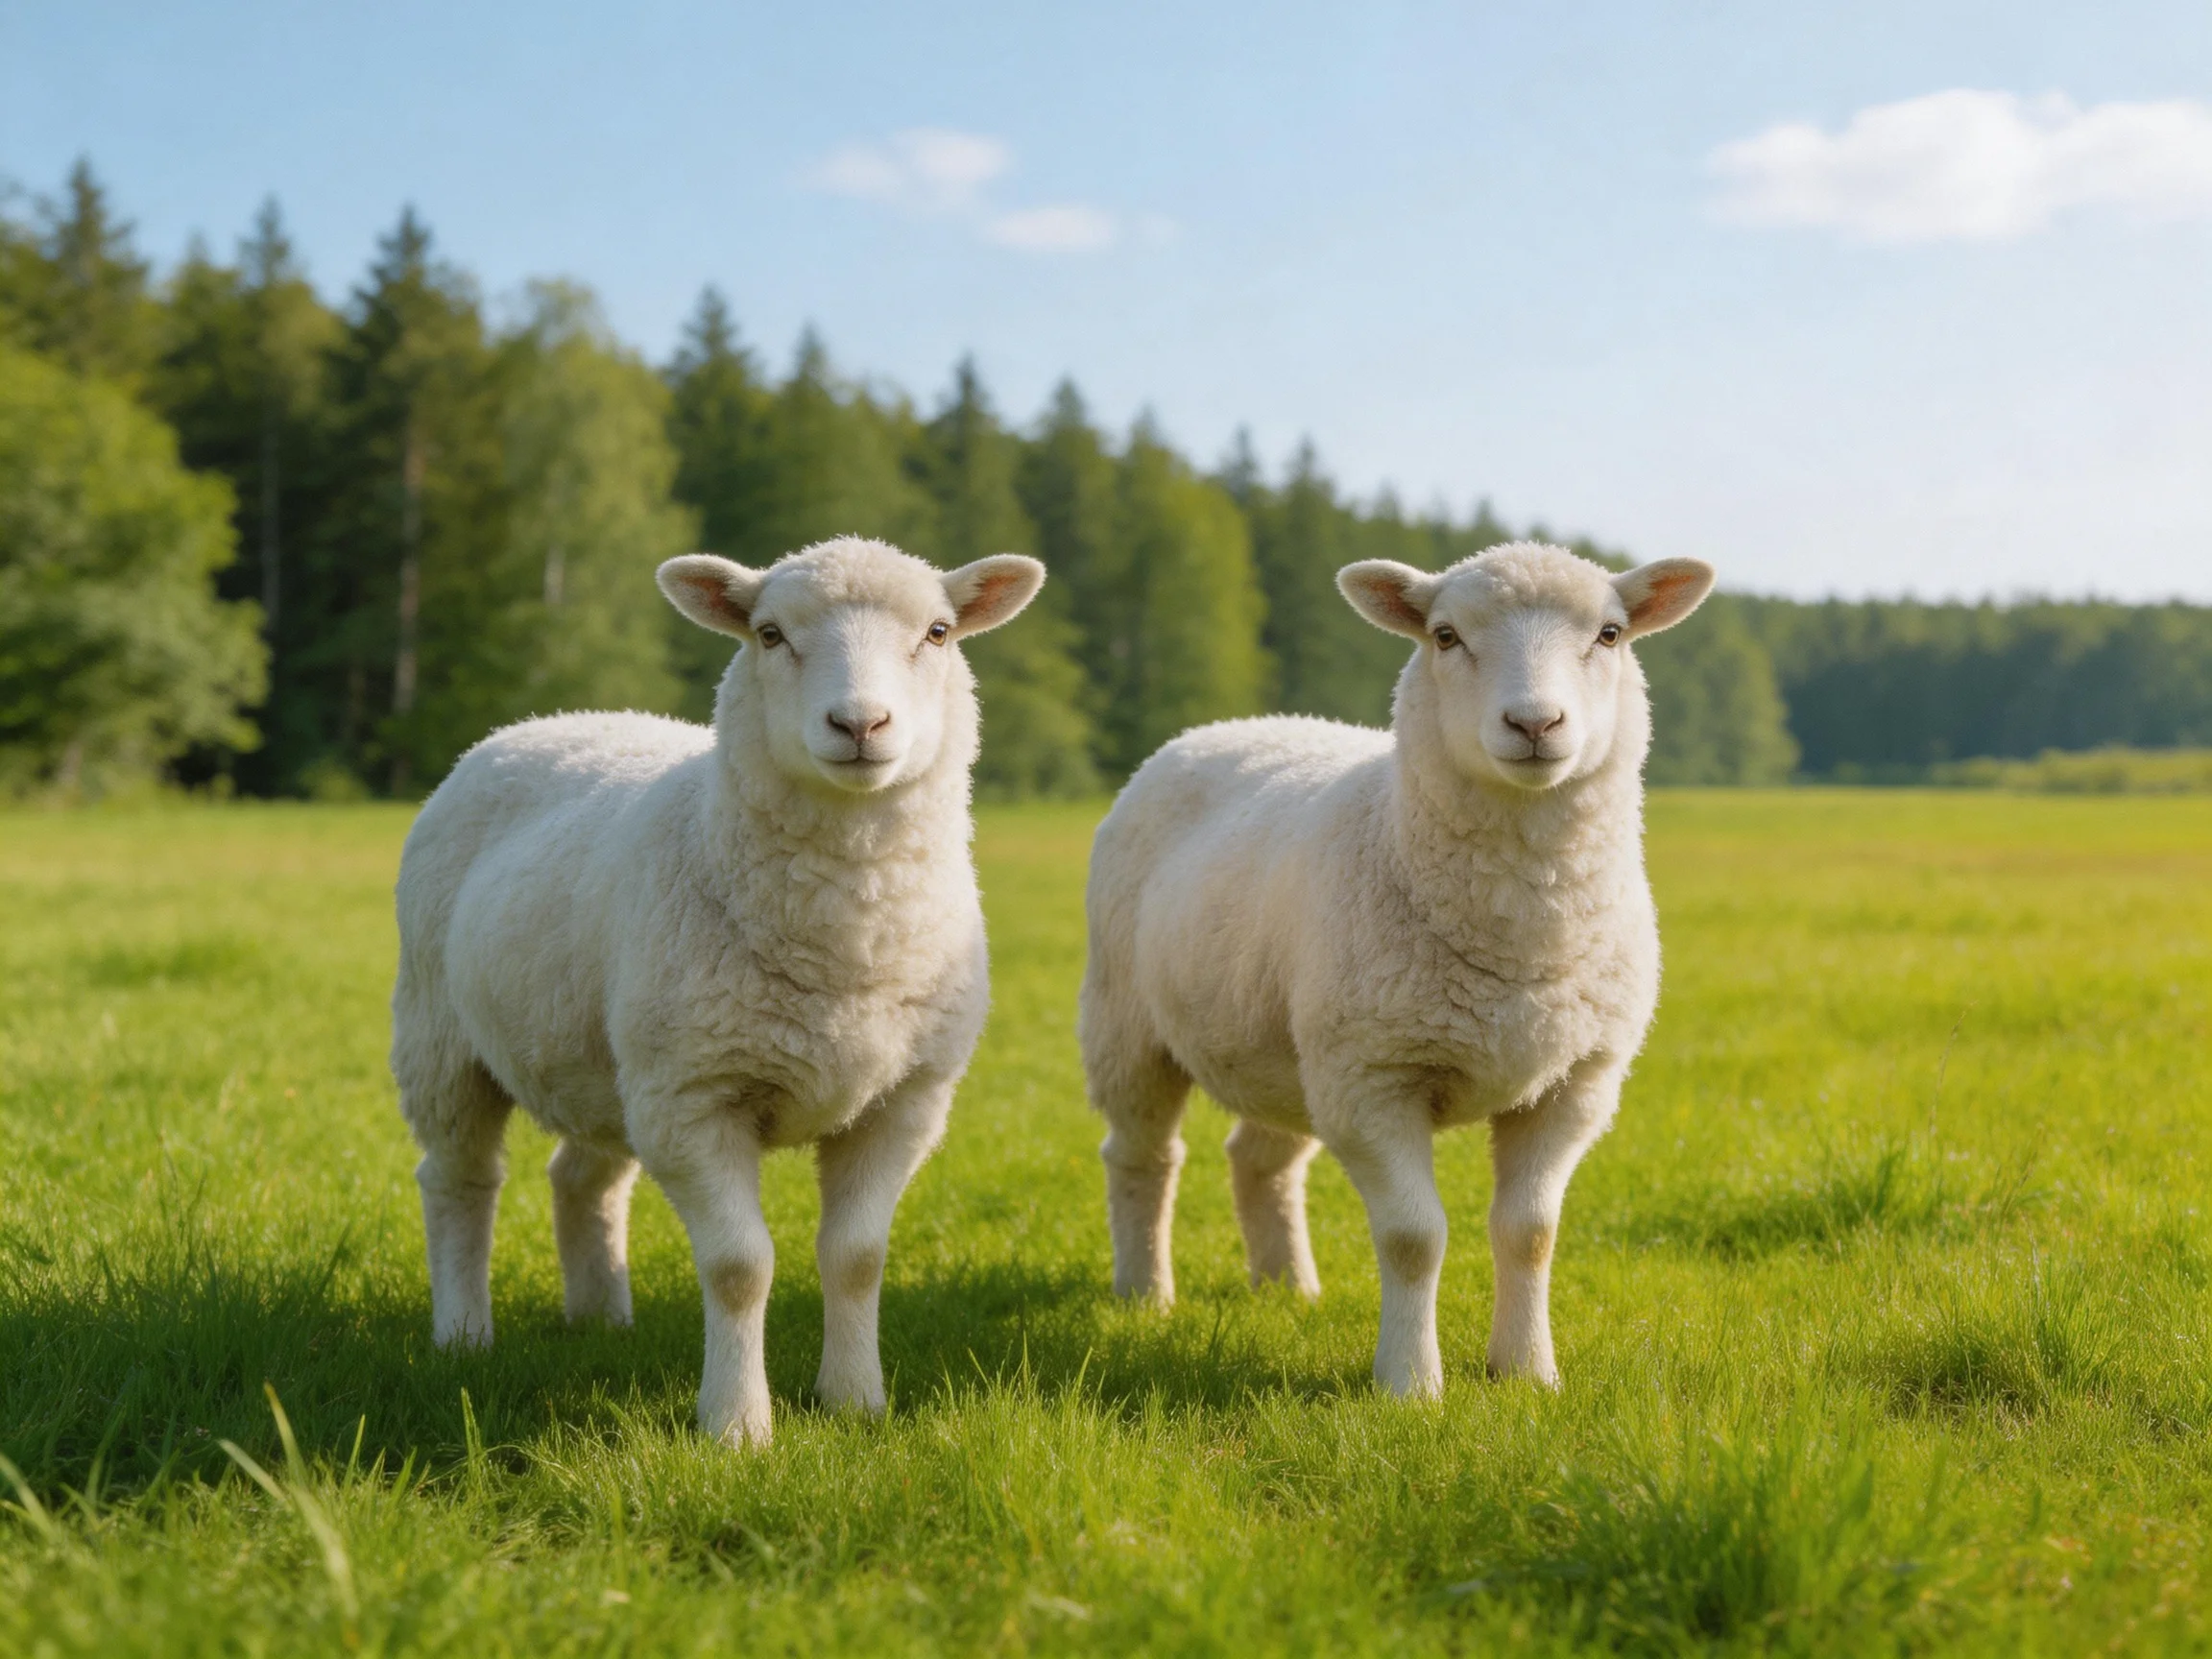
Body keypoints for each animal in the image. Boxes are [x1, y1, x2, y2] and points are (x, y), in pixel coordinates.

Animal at [389, 535, 1045, 1447]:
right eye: (769, 634)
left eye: (939, 633)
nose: (859, 725)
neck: (843, 945)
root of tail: (547, 720)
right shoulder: (696, 1098)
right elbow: (740, 1267)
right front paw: (737, 1426)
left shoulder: (904, 1100)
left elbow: (857, 1259)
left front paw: (855, 1401)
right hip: (442, 1037)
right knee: (459, 1180)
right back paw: (461, 1333)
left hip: (608, 1055)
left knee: (582, 1178)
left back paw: (601, 1318)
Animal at [1079, 541, 1714, 1395]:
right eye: (1445, 636)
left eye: (1610, 634)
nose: (1535, 723)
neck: (1518, 938)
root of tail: (1222, 728)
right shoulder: (1373, 1081)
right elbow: (1415, 1238)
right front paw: (1410, 1386)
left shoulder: (1575, 1083)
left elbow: (1530, 1232)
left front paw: (1527, 1372)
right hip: (1129, 1023)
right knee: (1142, 1156)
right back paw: (1145, 1293)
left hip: (1287, 1044)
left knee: (1259, 1159)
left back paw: (1287, 1287)